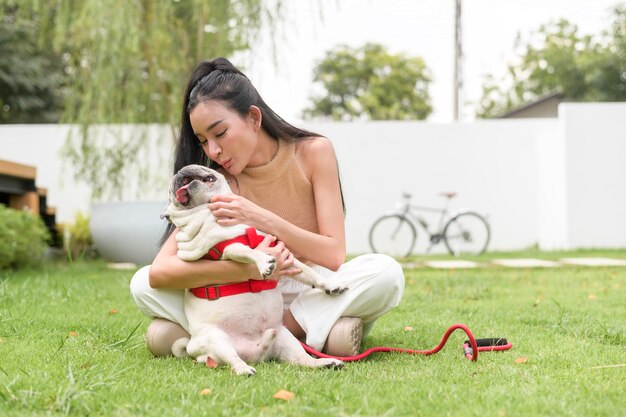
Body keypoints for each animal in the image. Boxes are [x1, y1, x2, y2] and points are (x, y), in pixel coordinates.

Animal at [160, 164, 346, 376]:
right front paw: (264, 261)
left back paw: (326, 362)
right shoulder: (231, 248)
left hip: (286, 337)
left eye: (201, 167)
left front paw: (330, 284)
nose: (180, 172)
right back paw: (244, 369)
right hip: (217, 340)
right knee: (233, 359)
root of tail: (254, 354)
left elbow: (308, 272)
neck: (209, 212)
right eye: (170, 194)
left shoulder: (285, 255)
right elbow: (249, 252)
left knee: (303, 360)